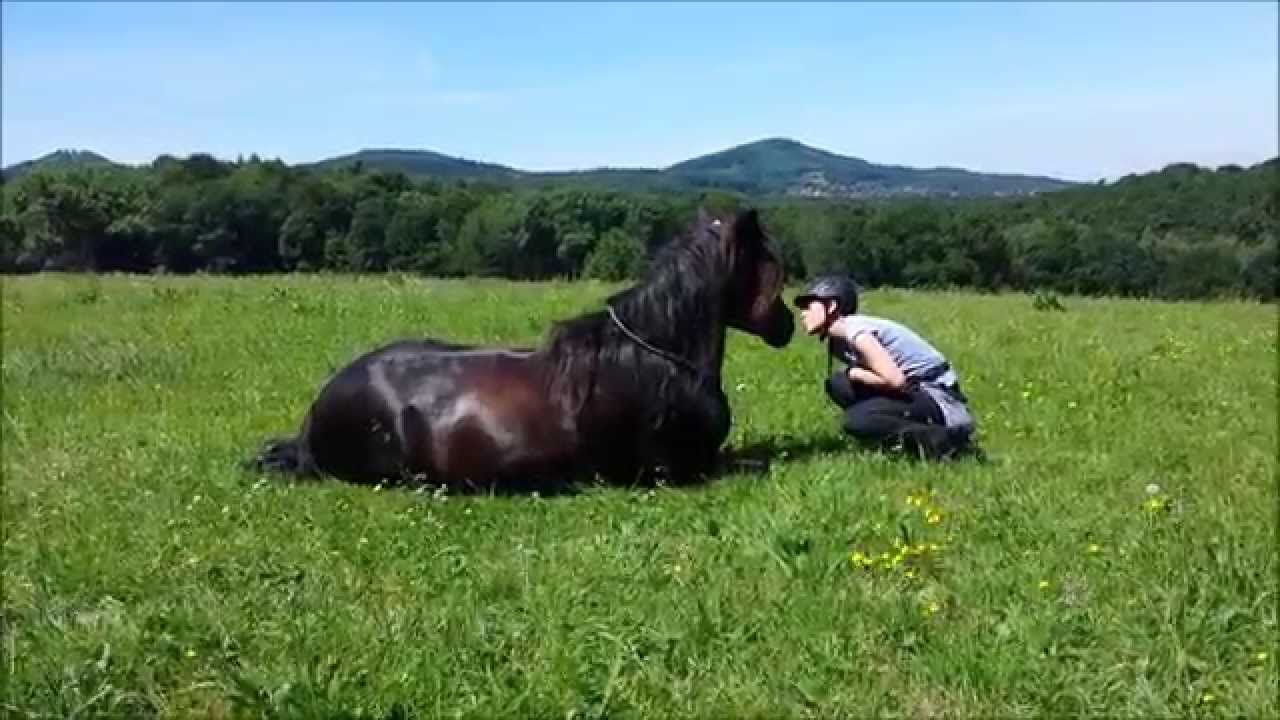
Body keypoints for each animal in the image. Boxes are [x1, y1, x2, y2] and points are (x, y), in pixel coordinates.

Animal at [250, 206, 795, 491]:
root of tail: (314, 415)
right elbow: (753, 463)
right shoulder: (681, 470)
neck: (654, 358)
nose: (788, 324)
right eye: (768, 266)